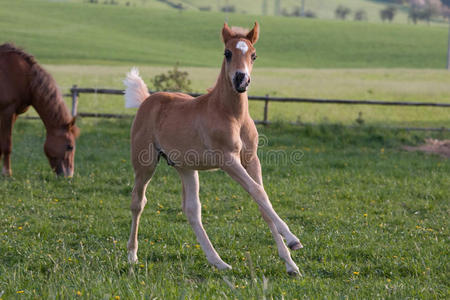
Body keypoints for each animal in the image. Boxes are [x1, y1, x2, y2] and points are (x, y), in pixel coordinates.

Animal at [0, 43, 79, 177]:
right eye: (70, 147)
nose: (69, 175)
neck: (25, 78)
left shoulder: (14, 114)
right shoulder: (7, 112)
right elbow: (7, 144)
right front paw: (7, 173)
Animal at [123, 22, 302, 276]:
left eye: (254, 55)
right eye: (227, 53)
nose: (241, 80)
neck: (231, 114)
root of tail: (148, 100)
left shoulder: (251, 159)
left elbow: (262, 201)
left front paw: (290, 264)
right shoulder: (227, 160)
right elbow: (257, 191)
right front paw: (293, 240)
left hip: (186, 167)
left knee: (191, 210)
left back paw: (218, 262)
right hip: (145, 164)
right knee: (138, 202)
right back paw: (132, 256)